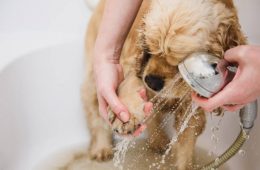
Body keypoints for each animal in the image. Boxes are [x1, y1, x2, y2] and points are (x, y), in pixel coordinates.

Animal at [82, 0, 247, 169]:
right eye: (149, 48)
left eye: (181, 62)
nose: (151, 82)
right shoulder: (133, 62)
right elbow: (130, 82)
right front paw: (125, 117)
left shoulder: (192, 106)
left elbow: (186, 143)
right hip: (94, 75)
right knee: (95, 113)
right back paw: (101, 148)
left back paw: (159, 142)